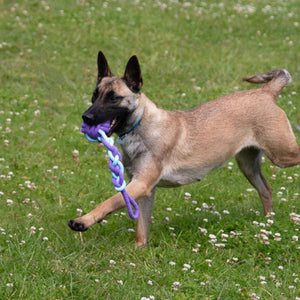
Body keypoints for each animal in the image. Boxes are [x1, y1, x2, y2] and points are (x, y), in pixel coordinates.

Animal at [68, 50, 300, 245]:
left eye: (114, 98)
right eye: (94, 95)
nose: (86, 117)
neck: (142, 125)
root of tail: (266, 92)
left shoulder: (140, 184)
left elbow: (109, 202)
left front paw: (83, 220)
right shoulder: (145, 189)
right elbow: (141, 228)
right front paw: (139, 250)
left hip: (281, 154)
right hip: (248, 164)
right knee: (266, 189)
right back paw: (268, 224)